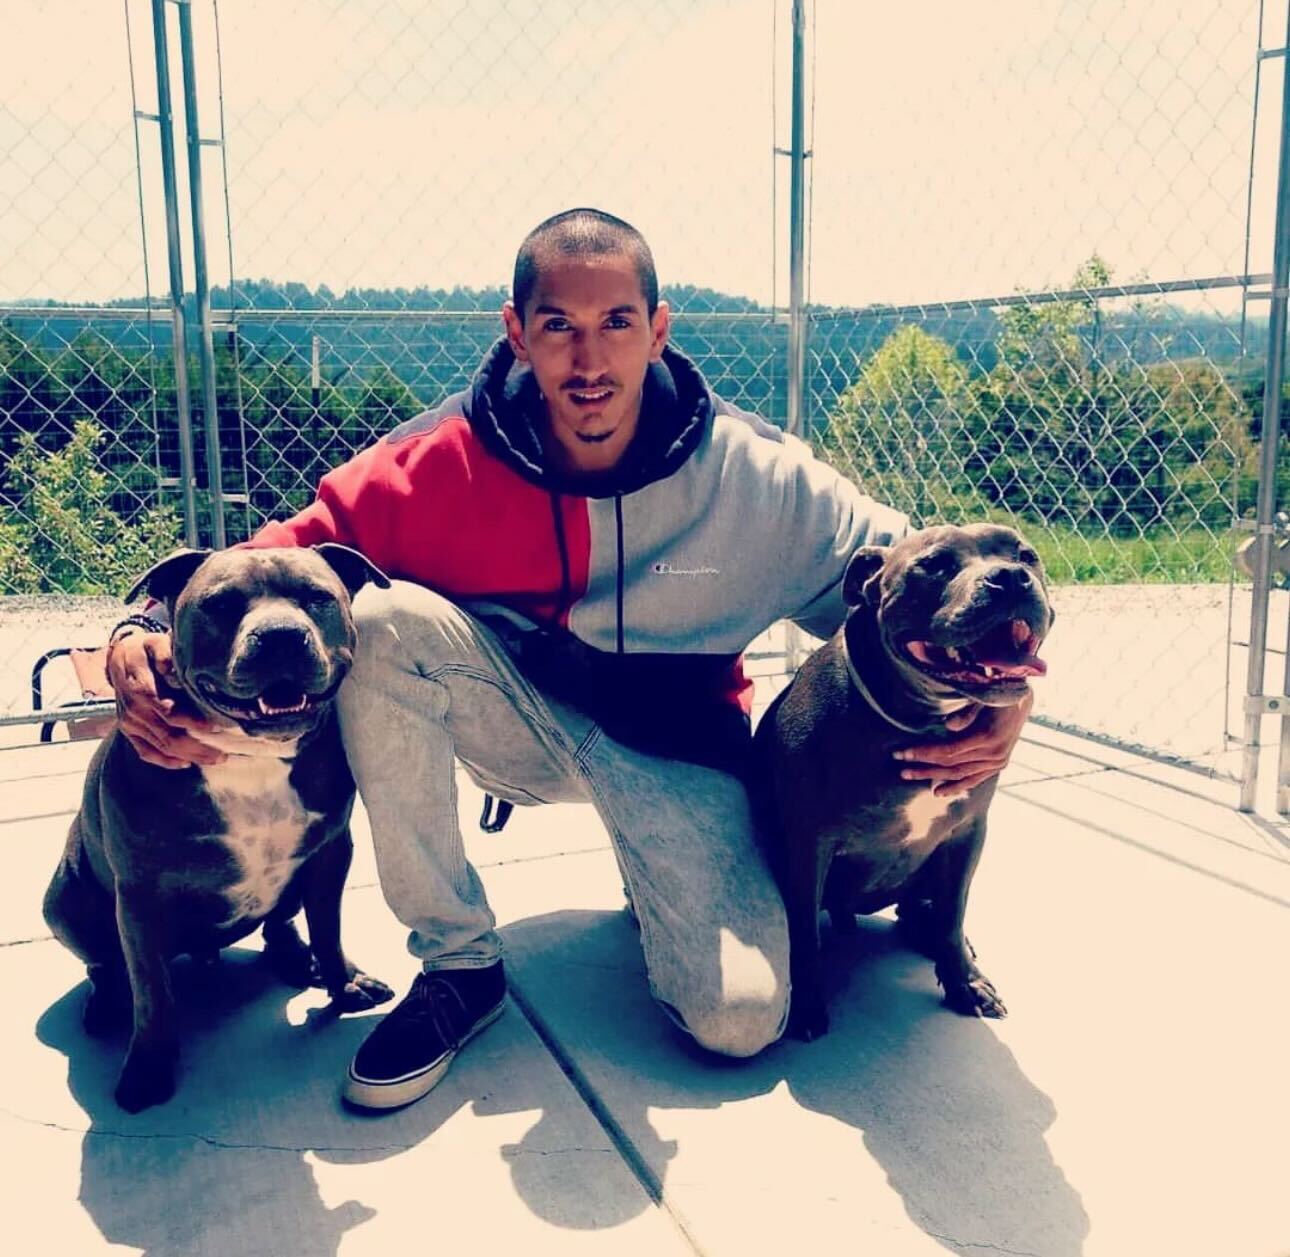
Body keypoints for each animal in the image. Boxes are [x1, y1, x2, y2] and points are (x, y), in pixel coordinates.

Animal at [43, 544, 395, 1111]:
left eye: (316, 597)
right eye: (221, 604)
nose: (280, 635)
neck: (250, 755)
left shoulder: (330, 854)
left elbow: (328, 929)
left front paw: (343, 984)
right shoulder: (140, 894)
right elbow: (152, 993)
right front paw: (148, 1067)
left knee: (280, 923)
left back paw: (297, 959)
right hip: (63, 901)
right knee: (107, 965)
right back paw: (107, 1003)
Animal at [752, 523, 1053, 1041]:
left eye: (1026, 555)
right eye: (934, 565)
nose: (1011, 578)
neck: (920, 722)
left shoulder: (966, 834)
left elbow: (954, 915)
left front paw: (963, 983)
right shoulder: (806, 846)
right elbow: (802, 933)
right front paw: (807, 1004)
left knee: (925, 912)